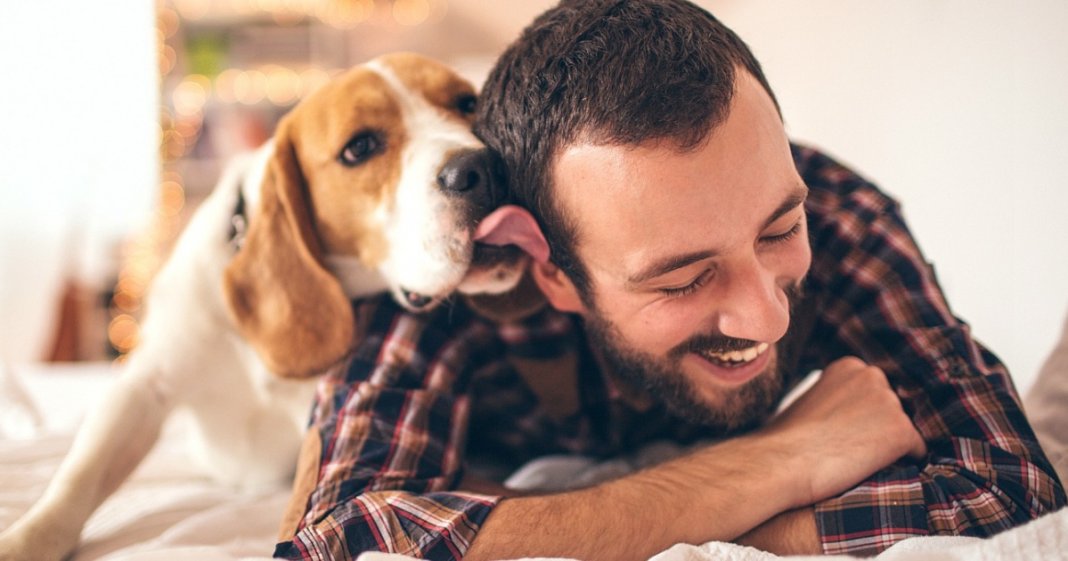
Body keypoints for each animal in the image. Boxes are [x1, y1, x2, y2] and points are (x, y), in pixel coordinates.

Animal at [0, 52, 531, 559]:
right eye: (360, 147)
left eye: (467, 102)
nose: (484, 168)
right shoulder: (144, 387)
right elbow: (79, 477)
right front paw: (26, 540)